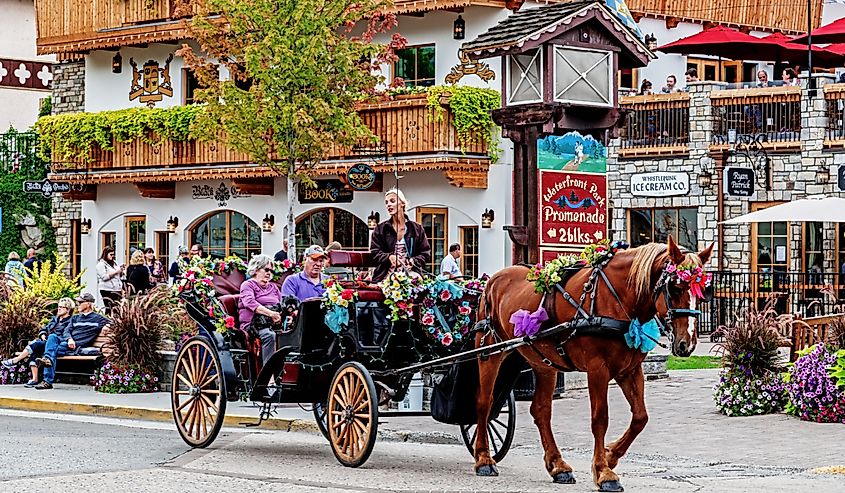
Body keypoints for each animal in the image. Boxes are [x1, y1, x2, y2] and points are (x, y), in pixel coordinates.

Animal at [472, 236, 708, 490]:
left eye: (703, 289)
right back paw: (483, 458)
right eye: (674, 287)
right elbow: (600, 419)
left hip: (544, 363)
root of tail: (492, 280)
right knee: (484, 403)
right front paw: (604, 472)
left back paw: (558, 465)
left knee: (541, 410)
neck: (617, 298)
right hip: (489, 352)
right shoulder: (597, 369)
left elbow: (640, 417)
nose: (687, 343)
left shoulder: (630, 370)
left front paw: (611, 455)